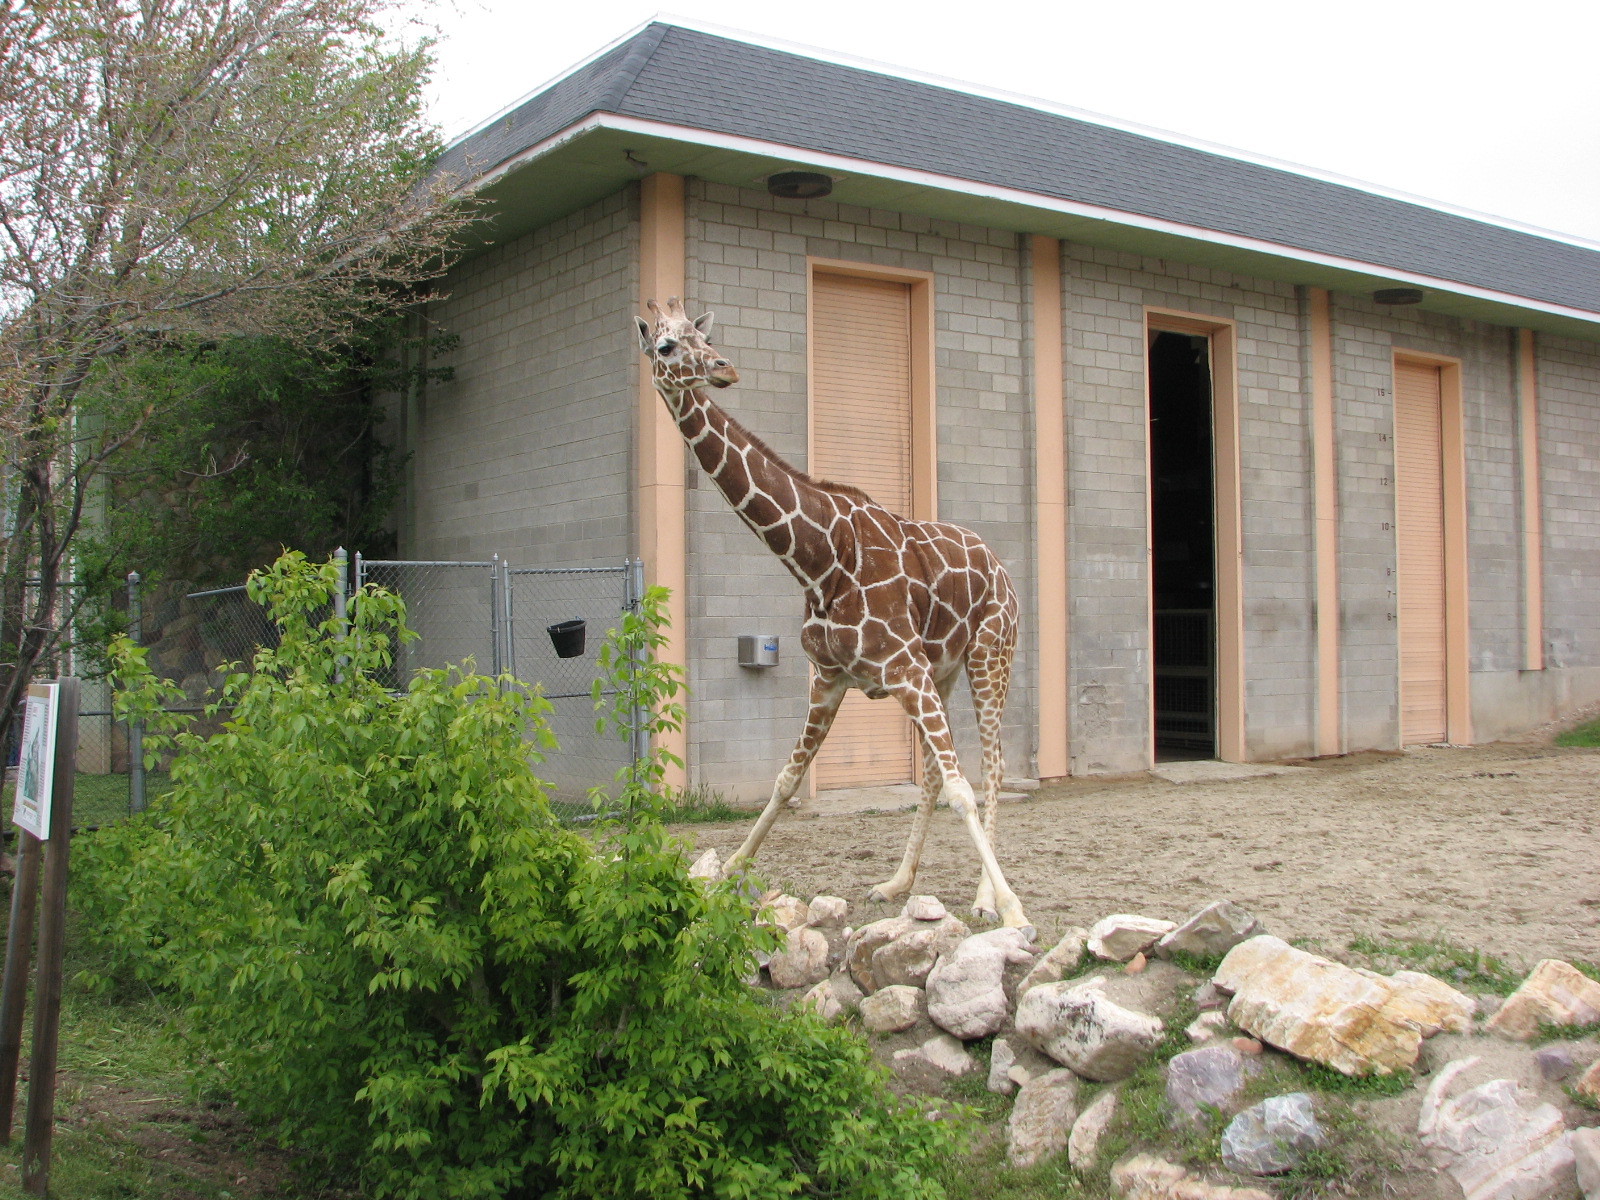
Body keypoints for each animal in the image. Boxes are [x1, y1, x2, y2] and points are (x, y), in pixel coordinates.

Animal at [635, 298, 1030, 931]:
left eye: (703, 335)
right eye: (667, 345)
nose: (724, 369)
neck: (818, 560)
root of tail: (1000, 566)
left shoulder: (904, 669)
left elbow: (964, 788)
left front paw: (1014, 908)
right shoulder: (830, 677)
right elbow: (786, 780)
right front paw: (728, 871)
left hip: (990, 657)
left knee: (989, 767)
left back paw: (984, 898)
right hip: (944, 670)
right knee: (936, 773)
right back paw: (897, 883)